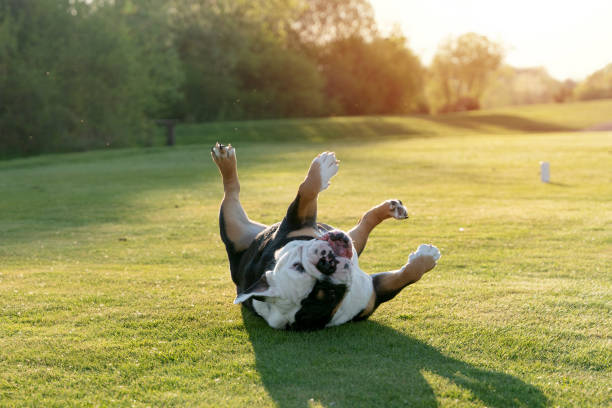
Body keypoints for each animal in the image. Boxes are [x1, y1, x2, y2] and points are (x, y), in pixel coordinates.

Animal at [212, 142, 440, 330]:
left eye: (297, 266)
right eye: (327, 294)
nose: (326, 264)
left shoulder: (296, 224)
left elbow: (307, 189)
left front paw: (321, 168)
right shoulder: (374, 289)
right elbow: (407, 276)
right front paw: (428, 257)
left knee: (363, 224)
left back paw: (392, 208)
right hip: (232, 227)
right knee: (231, 193)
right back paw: (225, 162)